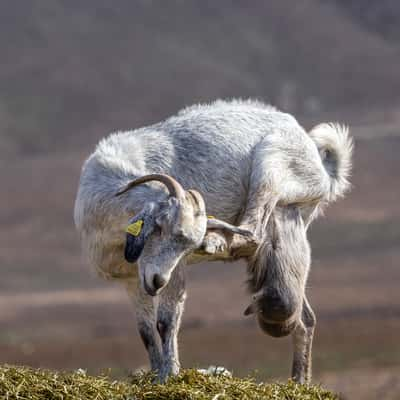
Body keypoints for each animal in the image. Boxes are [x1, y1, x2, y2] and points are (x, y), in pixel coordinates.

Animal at [73, 98, 352, 382]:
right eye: (158, 227)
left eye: (186, 245)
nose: (158, 281)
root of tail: (321, 163)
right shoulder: (131, 280)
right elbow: (146, 332)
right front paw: (155, 374)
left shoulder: (175, 272)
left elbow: (166, 322)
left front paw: (169, 375)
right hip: (286, 226)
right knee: (304, 315)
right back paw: (299, 381)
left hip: (270, 168)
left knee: (253, 231)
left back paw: (216, 243)